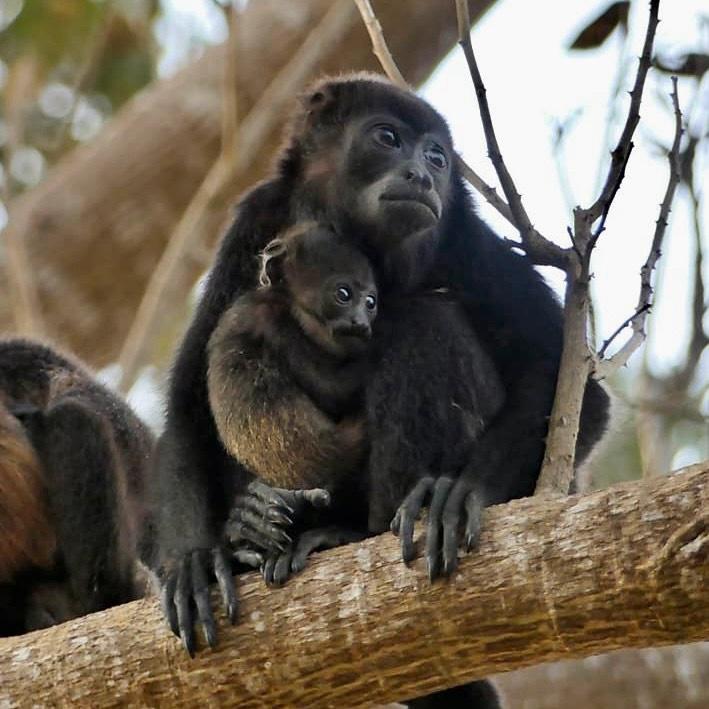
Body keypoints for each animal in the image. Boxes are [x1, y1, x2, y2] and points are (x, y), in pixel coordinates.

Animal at [148, 73, 609, 707]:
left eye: (437, 156)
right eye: (387, 138)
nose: (421, 174)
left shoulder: (464, 238)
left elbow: (578, 393)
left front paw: (462, 492)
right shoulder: (253, 221)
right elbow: (189, 404)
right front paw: (193, 559)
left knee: (424, 322)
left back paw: (346, 532)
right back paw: (251, 528)